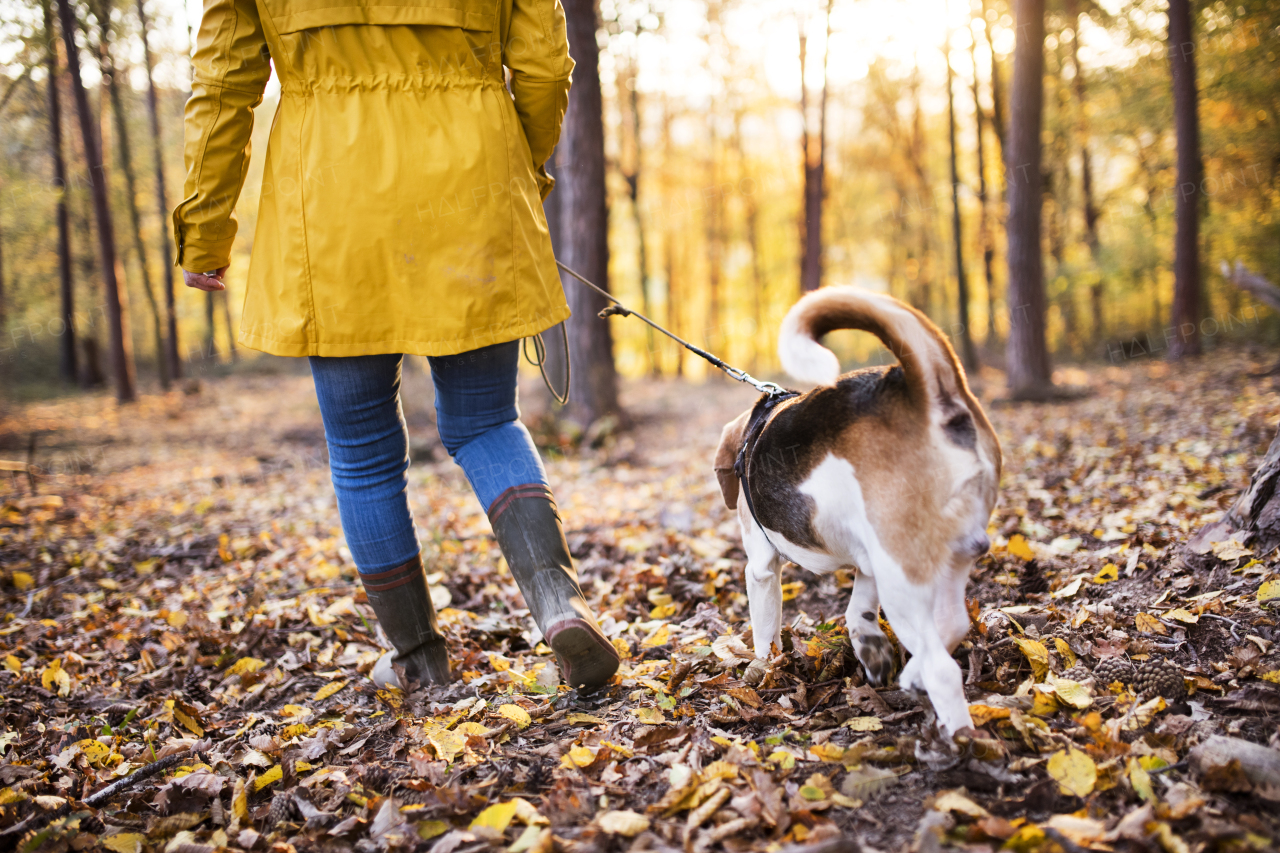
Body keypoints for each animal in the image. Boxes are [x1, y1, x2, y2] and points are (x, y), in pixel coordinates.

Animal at [711, 285, 998, 732]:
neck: (756, 426)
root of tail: (920, 392)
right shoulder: (869, 560)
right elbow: (857, 610)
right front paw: (870, 648)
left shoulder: (761, 569)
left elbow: (765, 634)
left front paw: (763, 670)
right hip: (945, 559)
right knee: (952, 625)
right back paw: (913, 675)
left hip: (903, 577)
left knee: (943, 669)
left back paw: (961, 737)